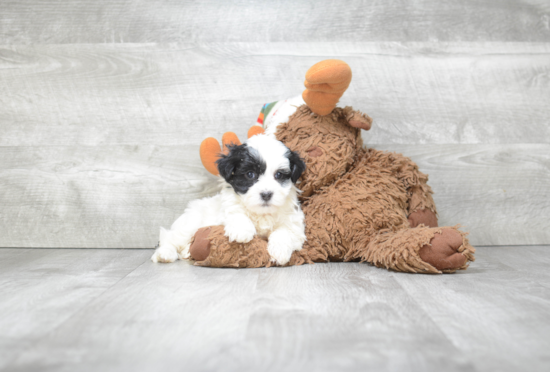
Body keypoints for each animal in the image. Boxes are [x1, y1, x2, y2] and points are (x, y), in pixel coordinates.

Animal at [151, 135, 308, 266]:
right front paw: (242, 231)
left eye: (279, 175)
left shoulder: (294, 224)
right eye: (250, 174)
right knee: (170, 237)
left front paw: (280, 252)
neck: (261, 213)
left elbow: (285, 232)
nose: (266, 194)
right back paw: (164, 254)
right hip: (190, 224)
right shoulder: (227, 209)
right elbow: (235, 213)